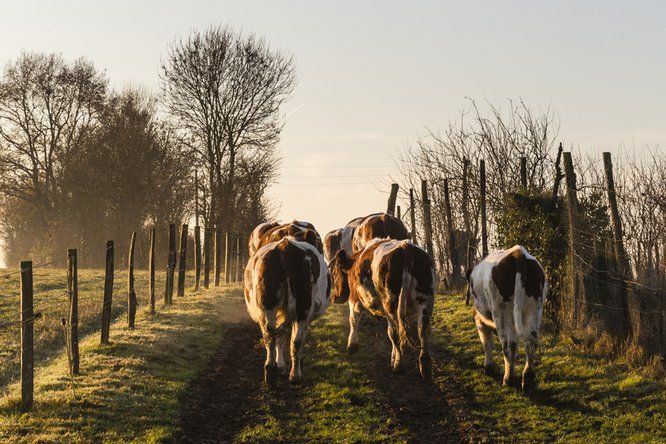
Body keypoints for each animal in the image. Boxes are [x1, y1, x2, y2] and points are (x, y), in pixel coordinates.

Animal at [244, 238, 330, 386]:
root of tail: (285, 247)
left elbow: (281, 337)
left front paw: (280, 365)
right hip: (303, 307)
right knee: (296, 340)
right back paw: (295, 375)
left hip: (267, 306)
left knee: (270, 335)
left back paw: (271, 372)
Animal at [328, 238, 434, 380]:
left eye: (334, 273)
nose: (334, 298)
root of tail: (406, 246)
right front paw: (392, 358)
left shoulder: (354, 299)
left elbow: (353, 320)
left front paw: (352, 345)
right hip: (426, 300)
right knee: (422, 331)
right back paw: (425, 367)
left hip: (390, 303)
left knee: (394, 333)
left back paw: (398, 366)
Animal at [464, 245, 548, 394]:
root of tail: (518, 253)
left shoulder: (479, 318)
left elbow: (487, 342)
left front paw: (488, 367)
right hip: (534, 310)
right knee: (530, 344)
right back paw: (527, 381)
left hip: (501, 313)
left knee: (508, 345)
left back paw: (508, 380)